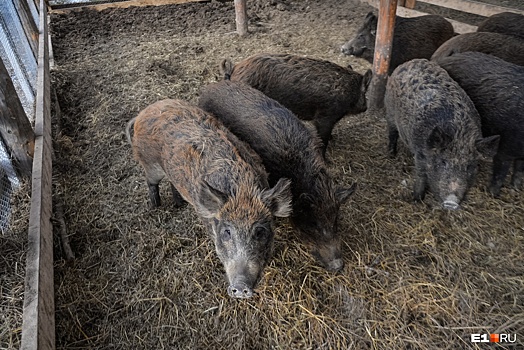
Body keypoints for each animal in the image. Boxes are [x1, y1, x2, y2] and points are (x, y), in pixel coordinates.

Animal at [125, 98, 292, 298]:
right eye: (227, 232)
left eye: (259, 231)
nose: (240, 286)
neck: (242, 190)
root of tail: (144, 112)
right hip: (150, 165)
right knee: (151, 183)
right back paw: (155, 206)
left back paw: (179, 204)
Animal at [221, 53, 372, 154]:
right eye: (364, 91)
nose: (366, 107)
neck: (349, 91)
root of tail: (235, 68)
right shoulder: (325, 115)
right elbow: (323, 138)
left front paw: (333, 138)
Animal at [384, 58, 500, 209]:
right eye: (443, 162)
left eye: (470, 166)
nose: (451, 202)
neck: (460, 135)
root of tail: (410, 62)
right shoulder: (420, 153)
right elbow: (421, 175)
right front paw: (416, 199)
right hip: (390, 111)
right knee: (392, 133)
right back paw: (391, 155)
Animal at [434, 52, 524, 197]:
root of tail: (441, 61)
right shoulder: (505, 147)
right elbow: (499, 173)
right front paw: (492, 194)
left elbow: (519, 170)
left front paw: (515, 189)